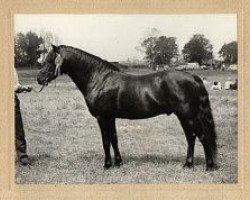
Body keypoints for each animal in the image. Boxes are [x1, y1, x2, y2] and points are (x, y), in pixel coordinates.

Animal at [37, 45, 217, 170]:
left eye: (50, 60)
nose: (39, 79)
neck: (99, 79)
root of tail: (193, 76)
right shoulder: (110, 118)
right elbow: (114, 139)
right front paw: (118, 163)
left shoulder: (102, 118)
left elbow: (105, 141)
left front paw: (107, 165)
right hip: (183, 116)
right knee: (191, 138)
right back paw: (188, 164)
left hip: (189, 116)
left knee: (202, 137)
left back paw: (209, 166)